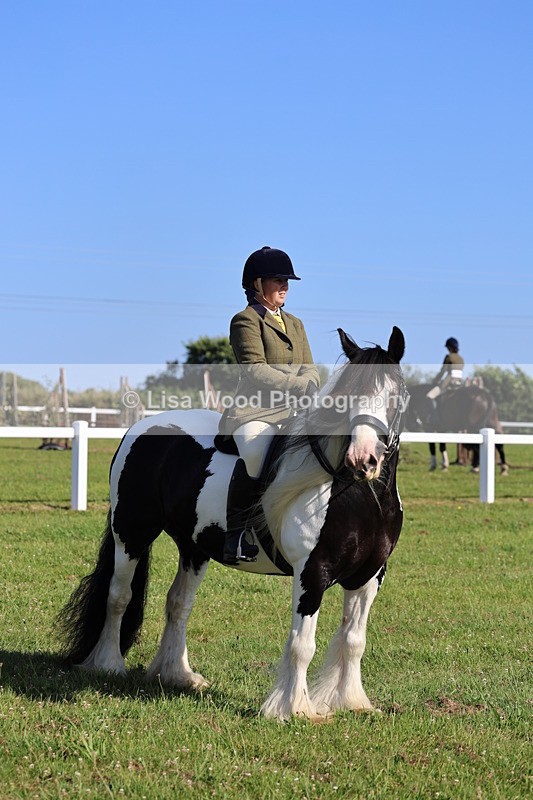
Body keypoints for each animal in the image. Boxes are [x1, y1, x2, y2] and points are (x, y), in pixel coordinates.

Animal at [58, 327, 409, 721]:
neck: (359, 497)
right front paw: (293, 709)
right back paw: (108, 665)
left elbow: (354, 640)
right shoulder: (311, 573)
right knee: (119, 596)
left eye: (394, 393)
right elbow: (302, 644)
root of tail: (143, 425)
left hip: (193, 547)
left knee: (178, 603)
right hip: (131, 534)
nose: (363, 460)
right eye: (348, 396)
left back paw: (178, 675)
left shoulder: (370, 575)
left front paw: (351, 701)